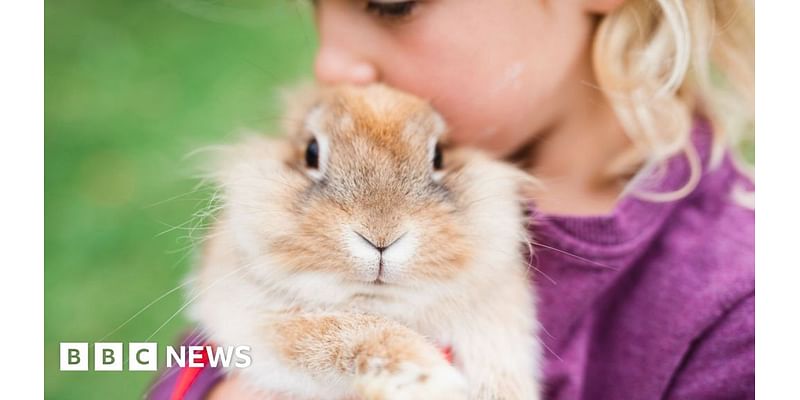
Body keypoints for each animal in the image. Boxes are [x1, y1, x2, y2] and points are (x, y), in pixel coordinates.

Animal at [187, 83, 536, 398]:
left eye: (439, 156)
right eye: (311, 152)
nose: (381, 236)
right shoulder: (263, 323)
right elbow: (349, 332)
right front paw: (429, 381)